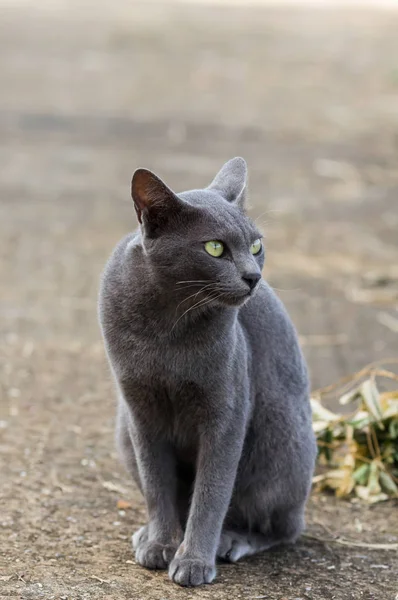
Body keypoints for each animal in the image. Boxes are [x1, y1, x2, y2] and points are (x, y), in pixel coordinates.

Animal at [98, 158, 316, 584]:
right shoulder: (139, 410)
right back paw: (148, 533)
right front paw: (160, 544)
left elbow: (212, 492)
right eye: (215, 248)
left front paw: (194, 561)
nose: (253, 276)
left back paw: (232, 540)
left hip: (279, 431)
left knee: (283, 526)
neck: (167, 324)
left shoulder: (226, 412)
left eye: (256, 246)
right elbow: (156, 484)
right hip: (121, 431)